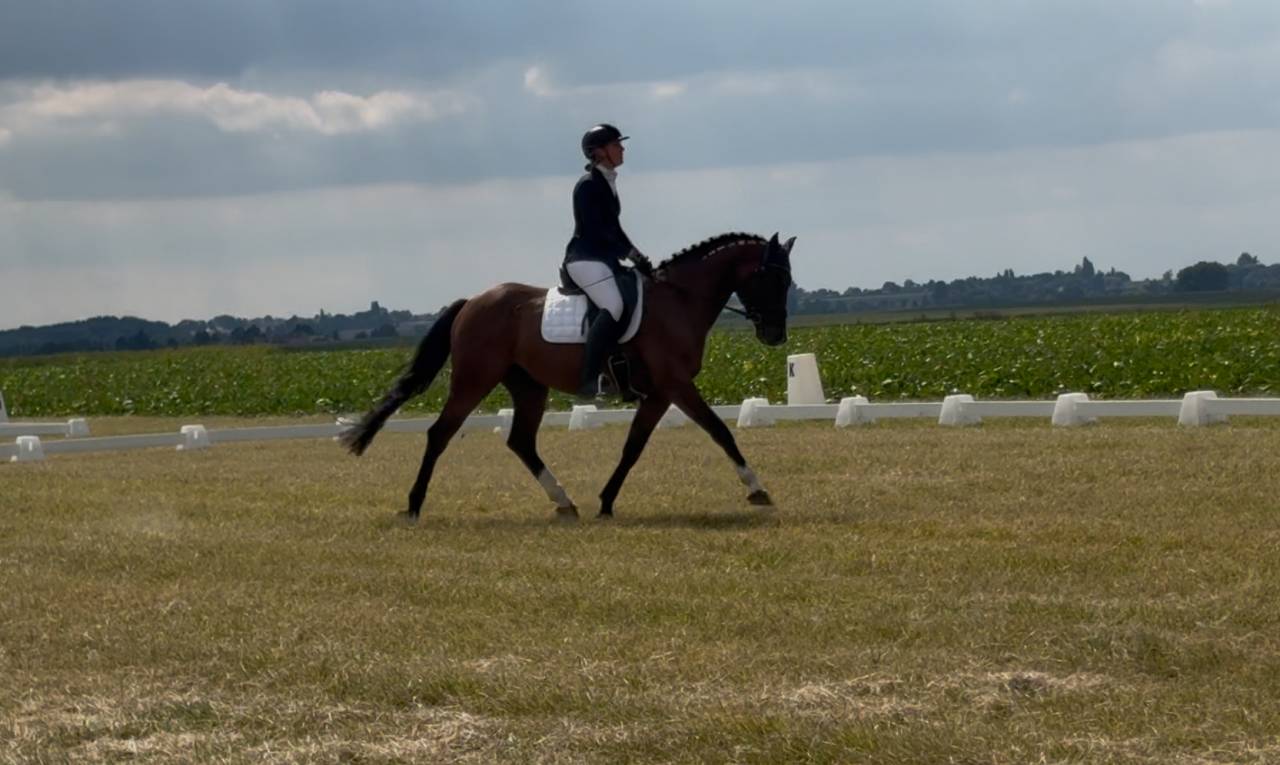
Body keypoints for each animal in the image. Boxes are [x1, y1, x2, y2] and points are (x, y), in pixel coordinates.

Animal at [340, 231, 796, 521]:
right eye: (772, 276)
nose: (775, 335)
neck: (679, 300)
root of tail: (472, 301)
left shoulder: (659, 393)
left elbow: (633, 447)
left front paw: (606, 502)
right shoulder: (676, 385)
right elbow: (721, 431)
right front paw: (757, 489)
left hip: (528, 387)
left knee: (521, 441)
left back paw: (564, 501)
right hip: (474, 380)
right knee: (440, 434)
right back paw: (414, 505)